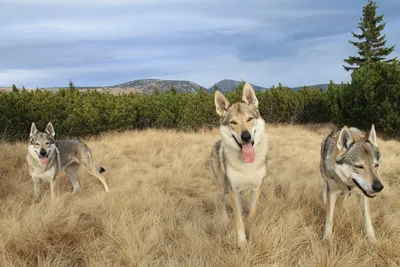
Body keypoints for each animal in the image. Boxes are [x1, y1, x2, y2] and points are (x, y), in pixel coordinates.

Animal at [209, 82, 268, 249]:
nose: (246, 137)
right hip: (223, 187)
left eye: (249, 119)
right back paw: (224, 218)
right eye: (233, 122)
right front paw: (242, 242)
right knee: (223, 203)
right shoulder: (233, 190)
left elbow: (252, 213)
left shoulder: (257, 188)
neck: (246, 164)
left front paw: (251, 231)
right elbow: (238, 220)